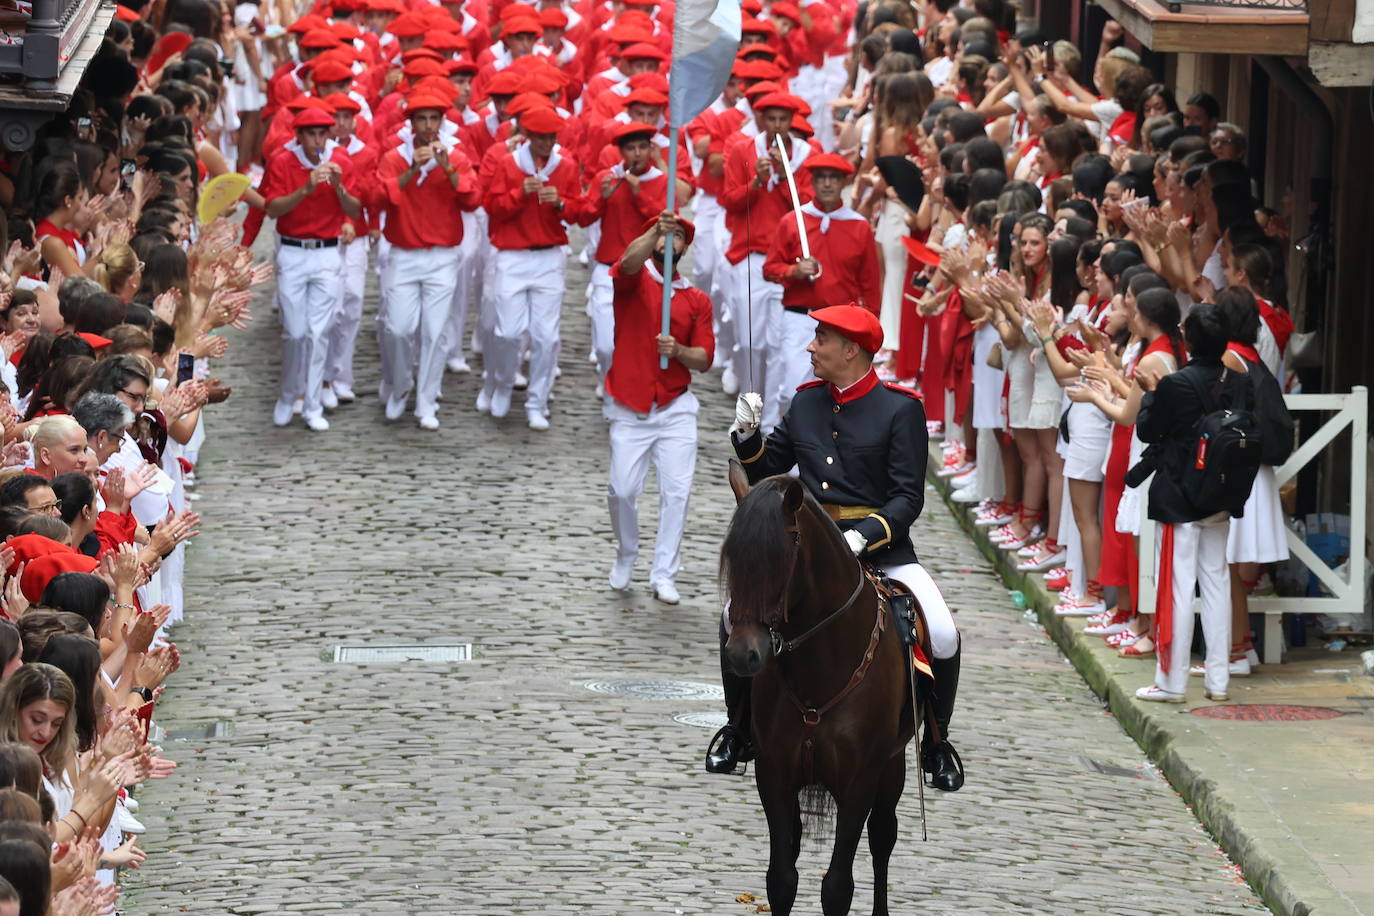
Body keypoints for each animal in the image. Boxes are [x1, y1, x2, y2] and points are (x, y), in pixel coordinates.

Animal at [719, 466, 912, 916]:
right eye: (732, 557)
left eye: (779, 559)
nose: (742, 655)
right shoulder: (774, 774)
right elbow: (781, 879)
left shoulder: (859, 783)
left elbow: (838, 887)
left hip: (892, 766)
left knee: (883, 837)